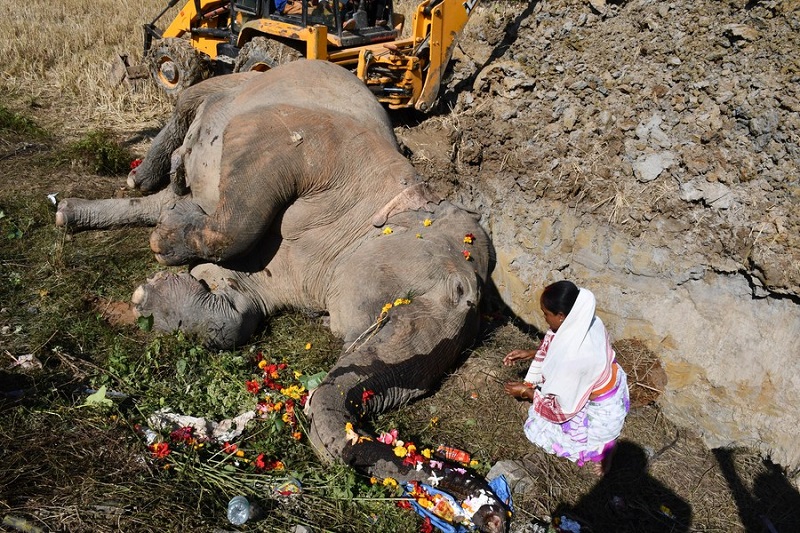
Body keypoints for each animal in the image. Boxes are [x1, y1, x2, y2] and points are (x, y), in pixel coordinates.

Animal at [56, 60, 506, 528]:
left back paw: (78, 212)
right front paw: (164, 247)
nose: (492, 516)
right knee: (189, 104)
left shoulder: (292, 274)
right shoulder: (311, 145)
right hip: (241, 80)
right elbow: (238, 219)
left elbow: (239, 311)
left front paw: (153, 291)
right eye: (460, 292)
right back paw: (152, 175)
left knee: (158, 200)